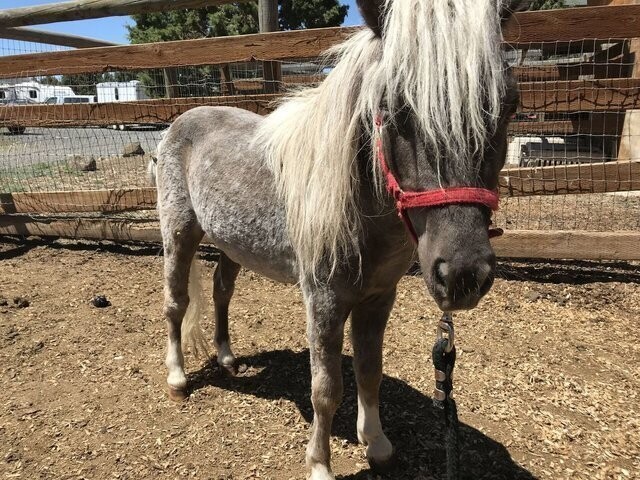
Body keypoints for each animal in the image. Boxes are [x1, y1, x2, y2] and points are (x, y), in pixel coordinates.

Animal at [152, 0, 524, 476]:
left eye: (509, 104)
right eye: (394, 107)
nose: (462, 274)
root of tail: (179, 122)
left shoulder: (379, 297)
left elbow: (369, 370)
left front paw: (376, 443)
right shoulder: (324, 300)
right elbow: (326, 389)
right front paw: (320, 465)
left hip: (232, 243)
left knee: (221, 291)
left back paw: (228, 357)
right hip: (179, 231)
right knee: (175, 302)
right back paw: (178, 378)